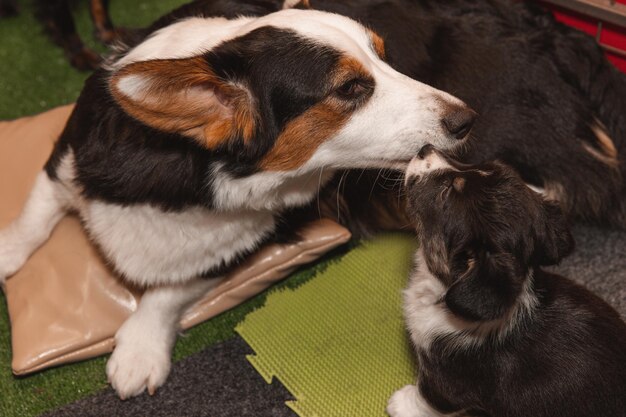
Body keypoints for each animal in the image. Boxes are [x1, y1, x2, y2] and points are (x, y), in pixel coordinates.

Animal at [386, 144, 624, 416]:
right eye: (482, 165)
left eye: (447, 191)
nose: (425, 148)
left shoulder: (447, 383)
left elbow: (426, 399)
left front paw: (400, 403)